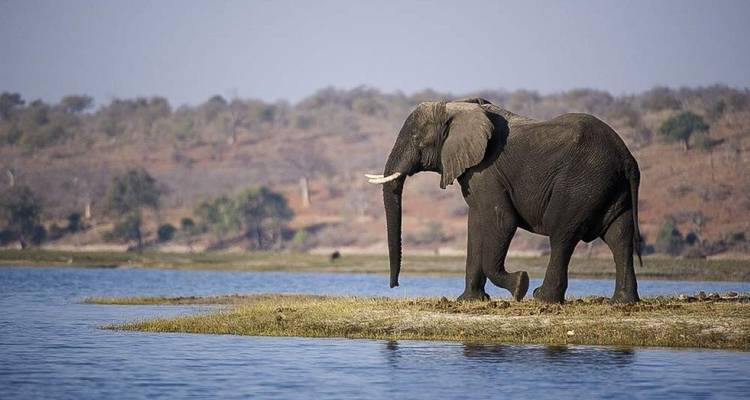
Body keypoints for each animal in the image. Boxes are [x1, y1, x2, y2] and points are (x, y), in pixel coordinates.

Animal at [366, 98, 642, 304]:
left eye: (415, 139)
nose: (394, 285)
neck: (456, 106)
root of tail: (627, 158)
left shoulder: (487, 171)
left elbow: (502, 222)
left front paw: (519, 284)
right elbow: (476, 225)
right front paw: (470, 300)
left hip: (581, 184)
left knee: (563, 235)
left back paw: (542, 297)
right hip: (610, 188)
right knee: (620, 237)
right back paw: (622, 302)